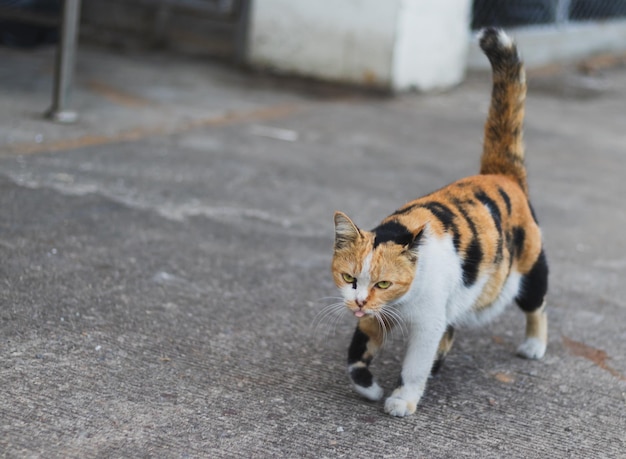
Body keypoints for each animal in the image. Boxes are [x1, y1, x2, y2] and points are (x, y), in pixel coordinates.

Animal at [332, 27, 544, 418]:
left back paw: (535, 345)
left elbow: (416, 362)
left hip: (530, 266)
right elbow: (356, 354)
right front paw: (369, 388)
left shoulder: (426, 320)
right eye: (349, 277)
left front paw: (402, 399)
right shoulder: (373, 316)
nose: (359, 301)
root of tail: (500, 174)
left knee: (536, 305)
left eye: (384, 283)